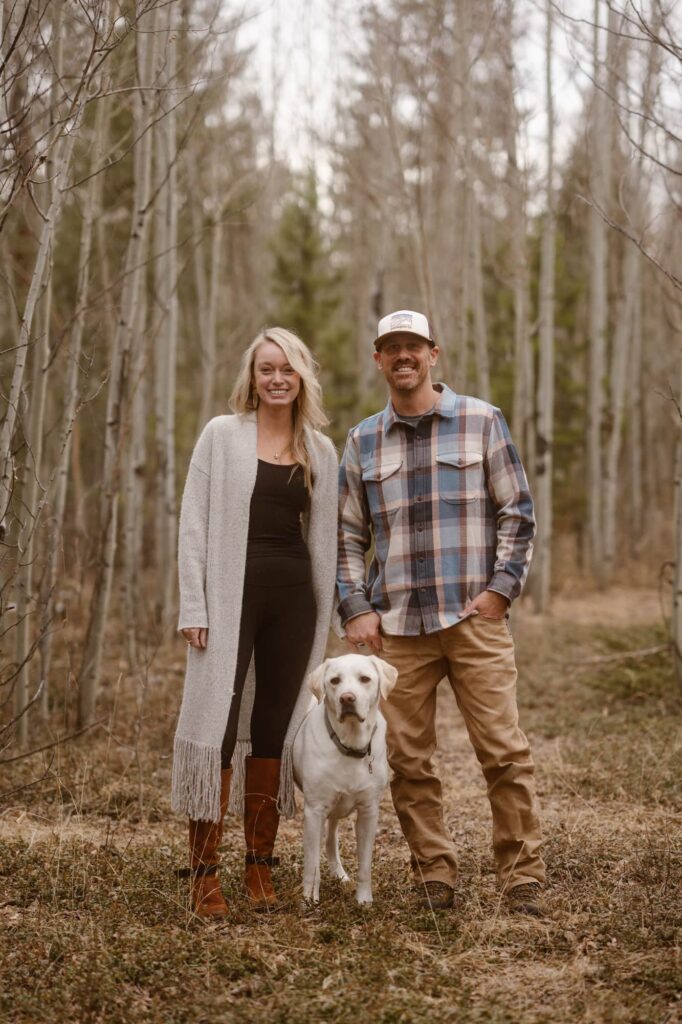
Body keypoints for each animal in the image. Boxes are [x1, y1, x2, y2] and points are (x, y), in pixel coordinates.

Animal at [288, 655, 395, 905]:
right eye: (335, 680)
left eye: (365, 679)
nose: (347, 698)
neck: (350, 744)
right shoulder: (314, 810)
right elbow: (312, 865)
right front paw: (309, 899)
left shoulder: (369, 812)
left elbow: (365, 864)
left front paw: (364, 900)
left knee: (330, 840)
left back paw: (339, 874)